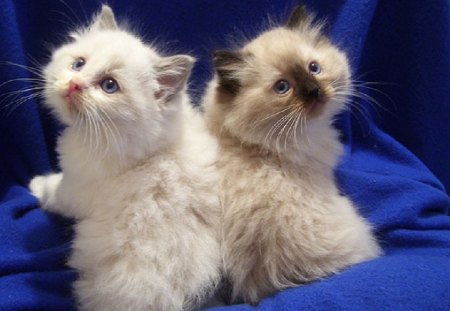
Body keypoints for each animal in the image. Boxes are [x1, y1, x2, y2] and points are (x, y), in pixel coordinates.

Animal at [29, 5, 222, 311]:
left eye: (109, 86)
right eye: (78, 64)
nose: (74, 84)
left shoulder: (74, 187)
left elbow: (52, 191)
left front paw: (35, 184)